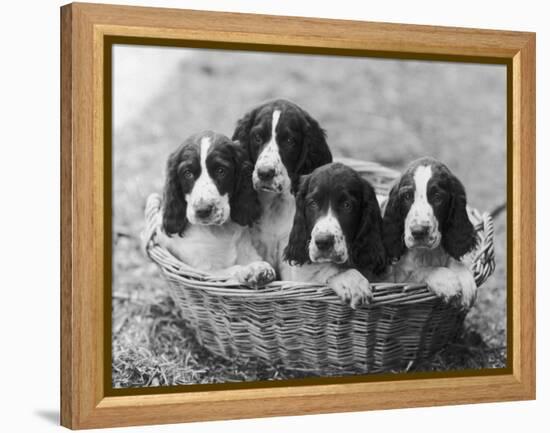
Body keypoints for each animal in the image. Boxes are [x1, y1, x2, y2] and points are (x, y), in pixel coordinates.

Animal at [158, 130, 276, 288]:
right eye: (187, 173)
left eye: (221, 171)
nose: (203, 210)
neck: (220, 231)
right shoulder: (203, 270)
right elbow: (230, 270)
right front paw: (251, 270)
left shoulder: (248, 251)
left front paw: (257, 267)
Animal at [384, 157, 478, 306]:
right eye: (407, 196)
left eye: (438, 197)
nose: (418, 231)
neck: (425, 254)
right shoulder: (396, 281)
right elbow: (417, 273)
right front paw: (446, 280)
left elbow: (454, 260)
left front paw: (466, 280)